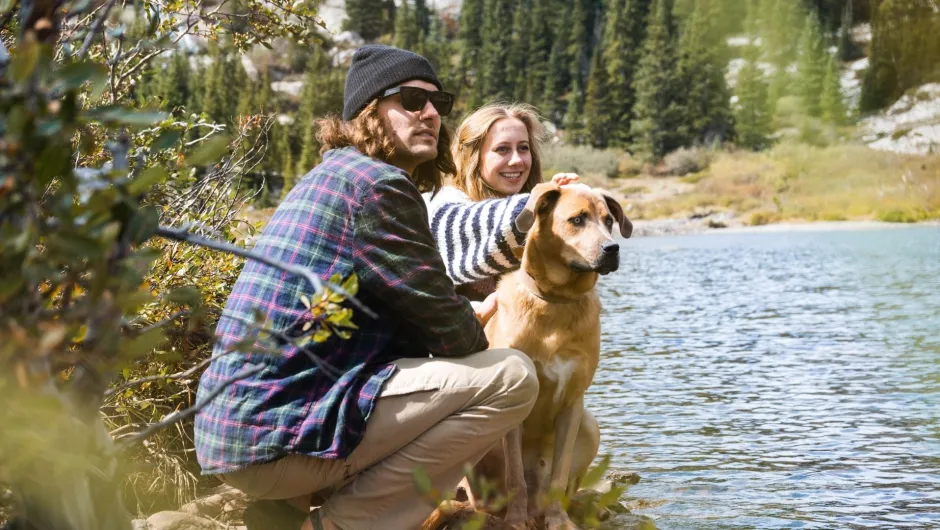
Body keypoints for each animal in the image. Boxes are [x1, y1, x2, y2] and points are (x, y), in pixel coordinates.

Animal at [474, 182, 636, 528]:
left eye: (609, 221)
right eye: (577, 219)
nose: (612, 248)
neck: (555, 303)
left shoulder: (572, 404)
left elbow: (558, 478)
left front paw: (559, 520)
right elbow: (515, 478)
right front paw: (515, 520)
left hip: (589, 425)